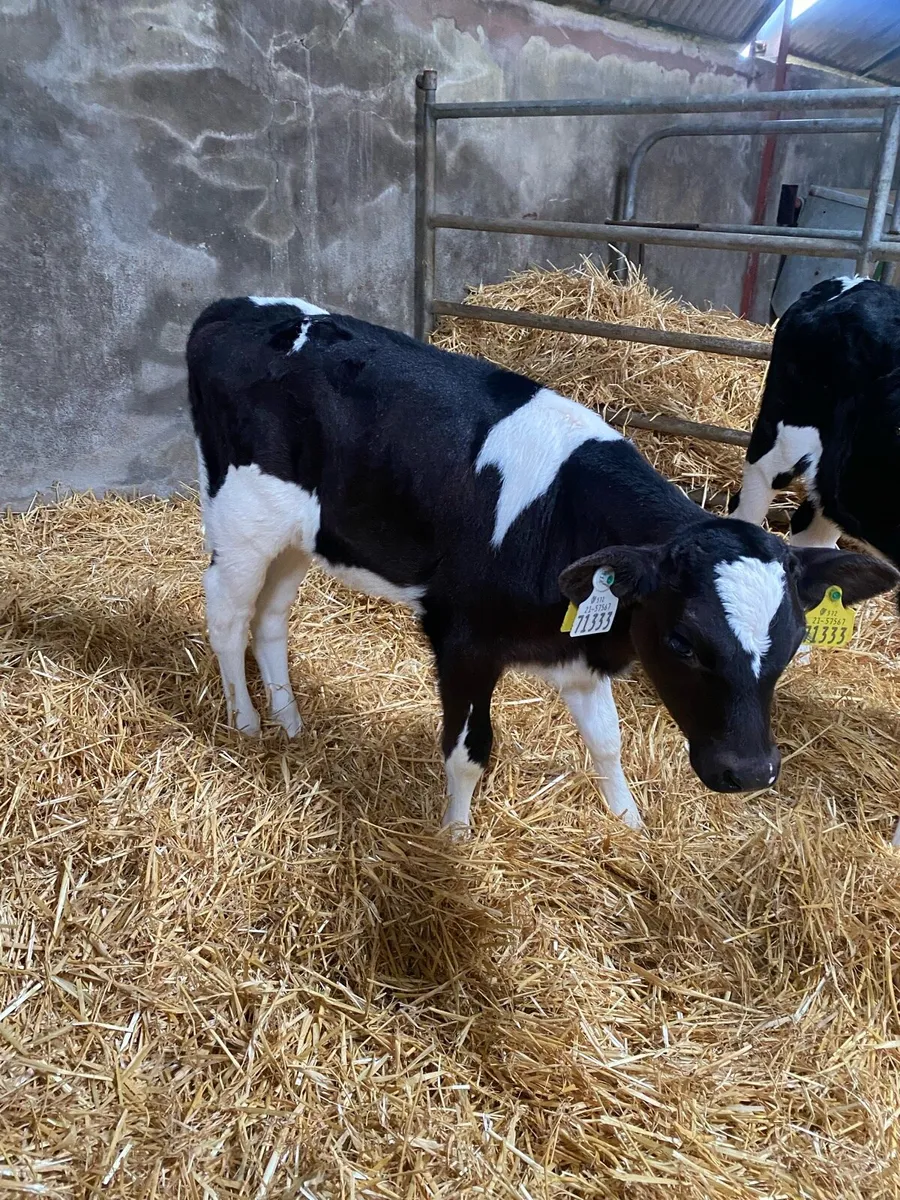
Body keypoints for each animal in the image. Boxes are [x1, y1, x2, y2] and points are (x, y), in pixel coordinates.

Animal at [185, 295, 897, 834]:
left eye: (794, 641)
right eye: (682, 641)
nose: (750, 773)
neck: (560, 515)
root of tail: (231, 307)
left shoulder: (579, 647)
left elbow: (607, 742)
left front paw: (629, 824)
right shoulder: (463, 640)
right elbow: (468, 752)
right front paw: (455, 838)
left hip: (300, 536)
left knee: (270, 620)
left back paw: (290, 722)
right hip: (240, 519)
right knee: (226, 615)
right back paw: (246, 722)